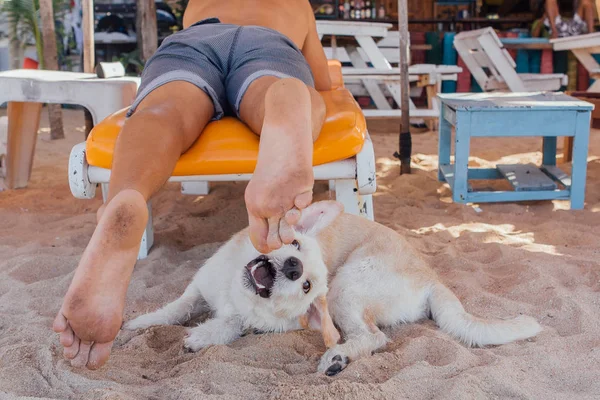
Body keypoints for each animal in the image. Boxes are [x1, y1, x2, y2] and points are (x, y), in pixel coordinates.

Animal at [124, 202, 540, 376]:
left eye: (307, 285)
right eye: (293, 244)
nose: (294, 267)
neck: (236, 293)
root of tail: (432, 278)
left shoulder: (244, 319)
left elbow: (227, 326)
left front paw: (199, 338)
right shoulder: (198, 288)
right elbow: (173, 308)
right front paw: (136, 326)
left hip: (345, 288)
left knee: (375, 338)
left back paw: (338, 357)